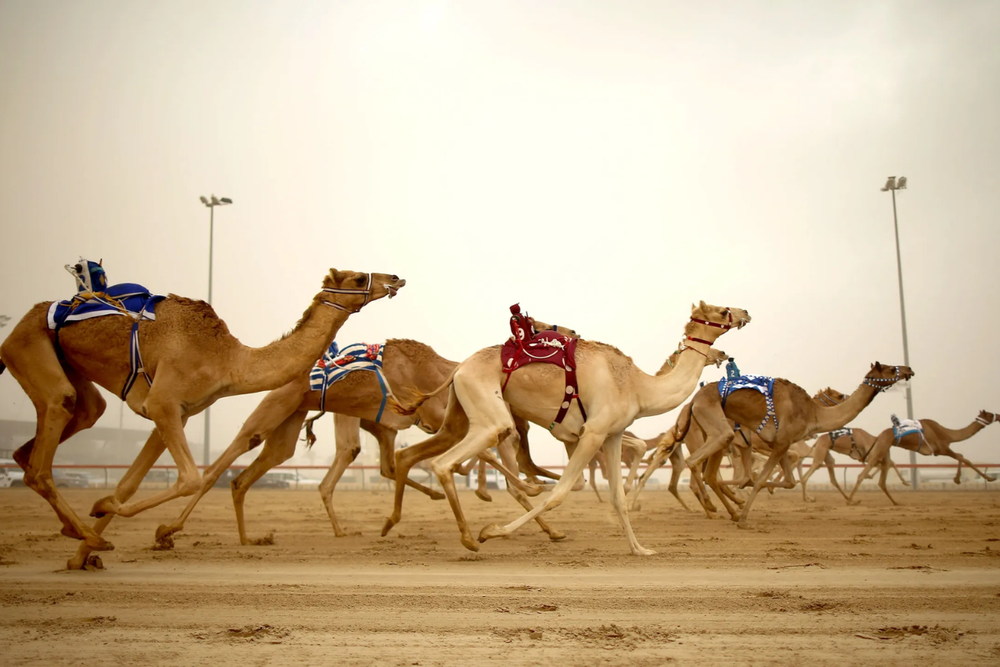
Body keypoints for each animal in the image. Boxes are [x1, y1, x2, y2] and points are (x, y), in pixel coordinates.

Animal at [0, 266, 404, 567]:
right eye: (357, 279)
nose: (396, 278)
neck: (227, 358)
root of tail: (27, 317)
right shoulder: (162, 403)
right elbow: (191, 478)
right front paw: (113, 523)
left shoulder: (179, 413)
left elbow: (128, 484)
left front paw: (86, 547)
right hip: (27, 346)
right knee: (45, 449)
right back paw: (83, 532)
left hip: (71, 373)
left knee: (67, 425)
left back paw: (83, 535)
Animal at [382, 302, 750, 556]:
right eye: (722, 310)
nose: (744, 312)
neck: (637, 386)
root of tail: (459, 368)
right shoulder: (592, 433)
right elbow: (561, 492)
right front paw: (494, 531)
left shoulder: (612, 434)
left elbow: (617, 496)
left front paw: (640, 549)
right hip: (490, 414)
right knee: (447, 462)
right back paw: (473, 537)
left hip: (458, 414)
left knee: (417, 455)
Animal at [679, 363, 914, 527]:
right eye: (891, 368)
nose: (908, 369)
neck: (813, 413)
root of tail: (693, 401)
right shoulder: (782, 441)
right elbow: (760, 479)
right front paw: (745, 518)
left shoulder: (779, 442)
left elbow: (787, 481)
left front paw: (747, 499)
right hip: (718, 429)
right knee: (694, 462)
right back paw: (715, 506)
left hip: (720, 436)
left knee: (709, 473)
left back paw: (729, 509)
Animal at [845, 410, 999, 506]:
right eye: (990, 414)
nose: (999, 415)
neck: (947, 433)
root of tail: (878, 436)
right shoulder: (942, 448)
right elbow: (963, 458)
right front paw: (990, 478)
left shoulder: (942, 450)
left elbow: (960, 457)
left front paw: (957, 479)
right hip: (880, 450)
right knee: (863, 475)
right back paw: (850, 500)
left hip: (883, 451)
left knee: (881, 480)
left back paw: (896, 502)